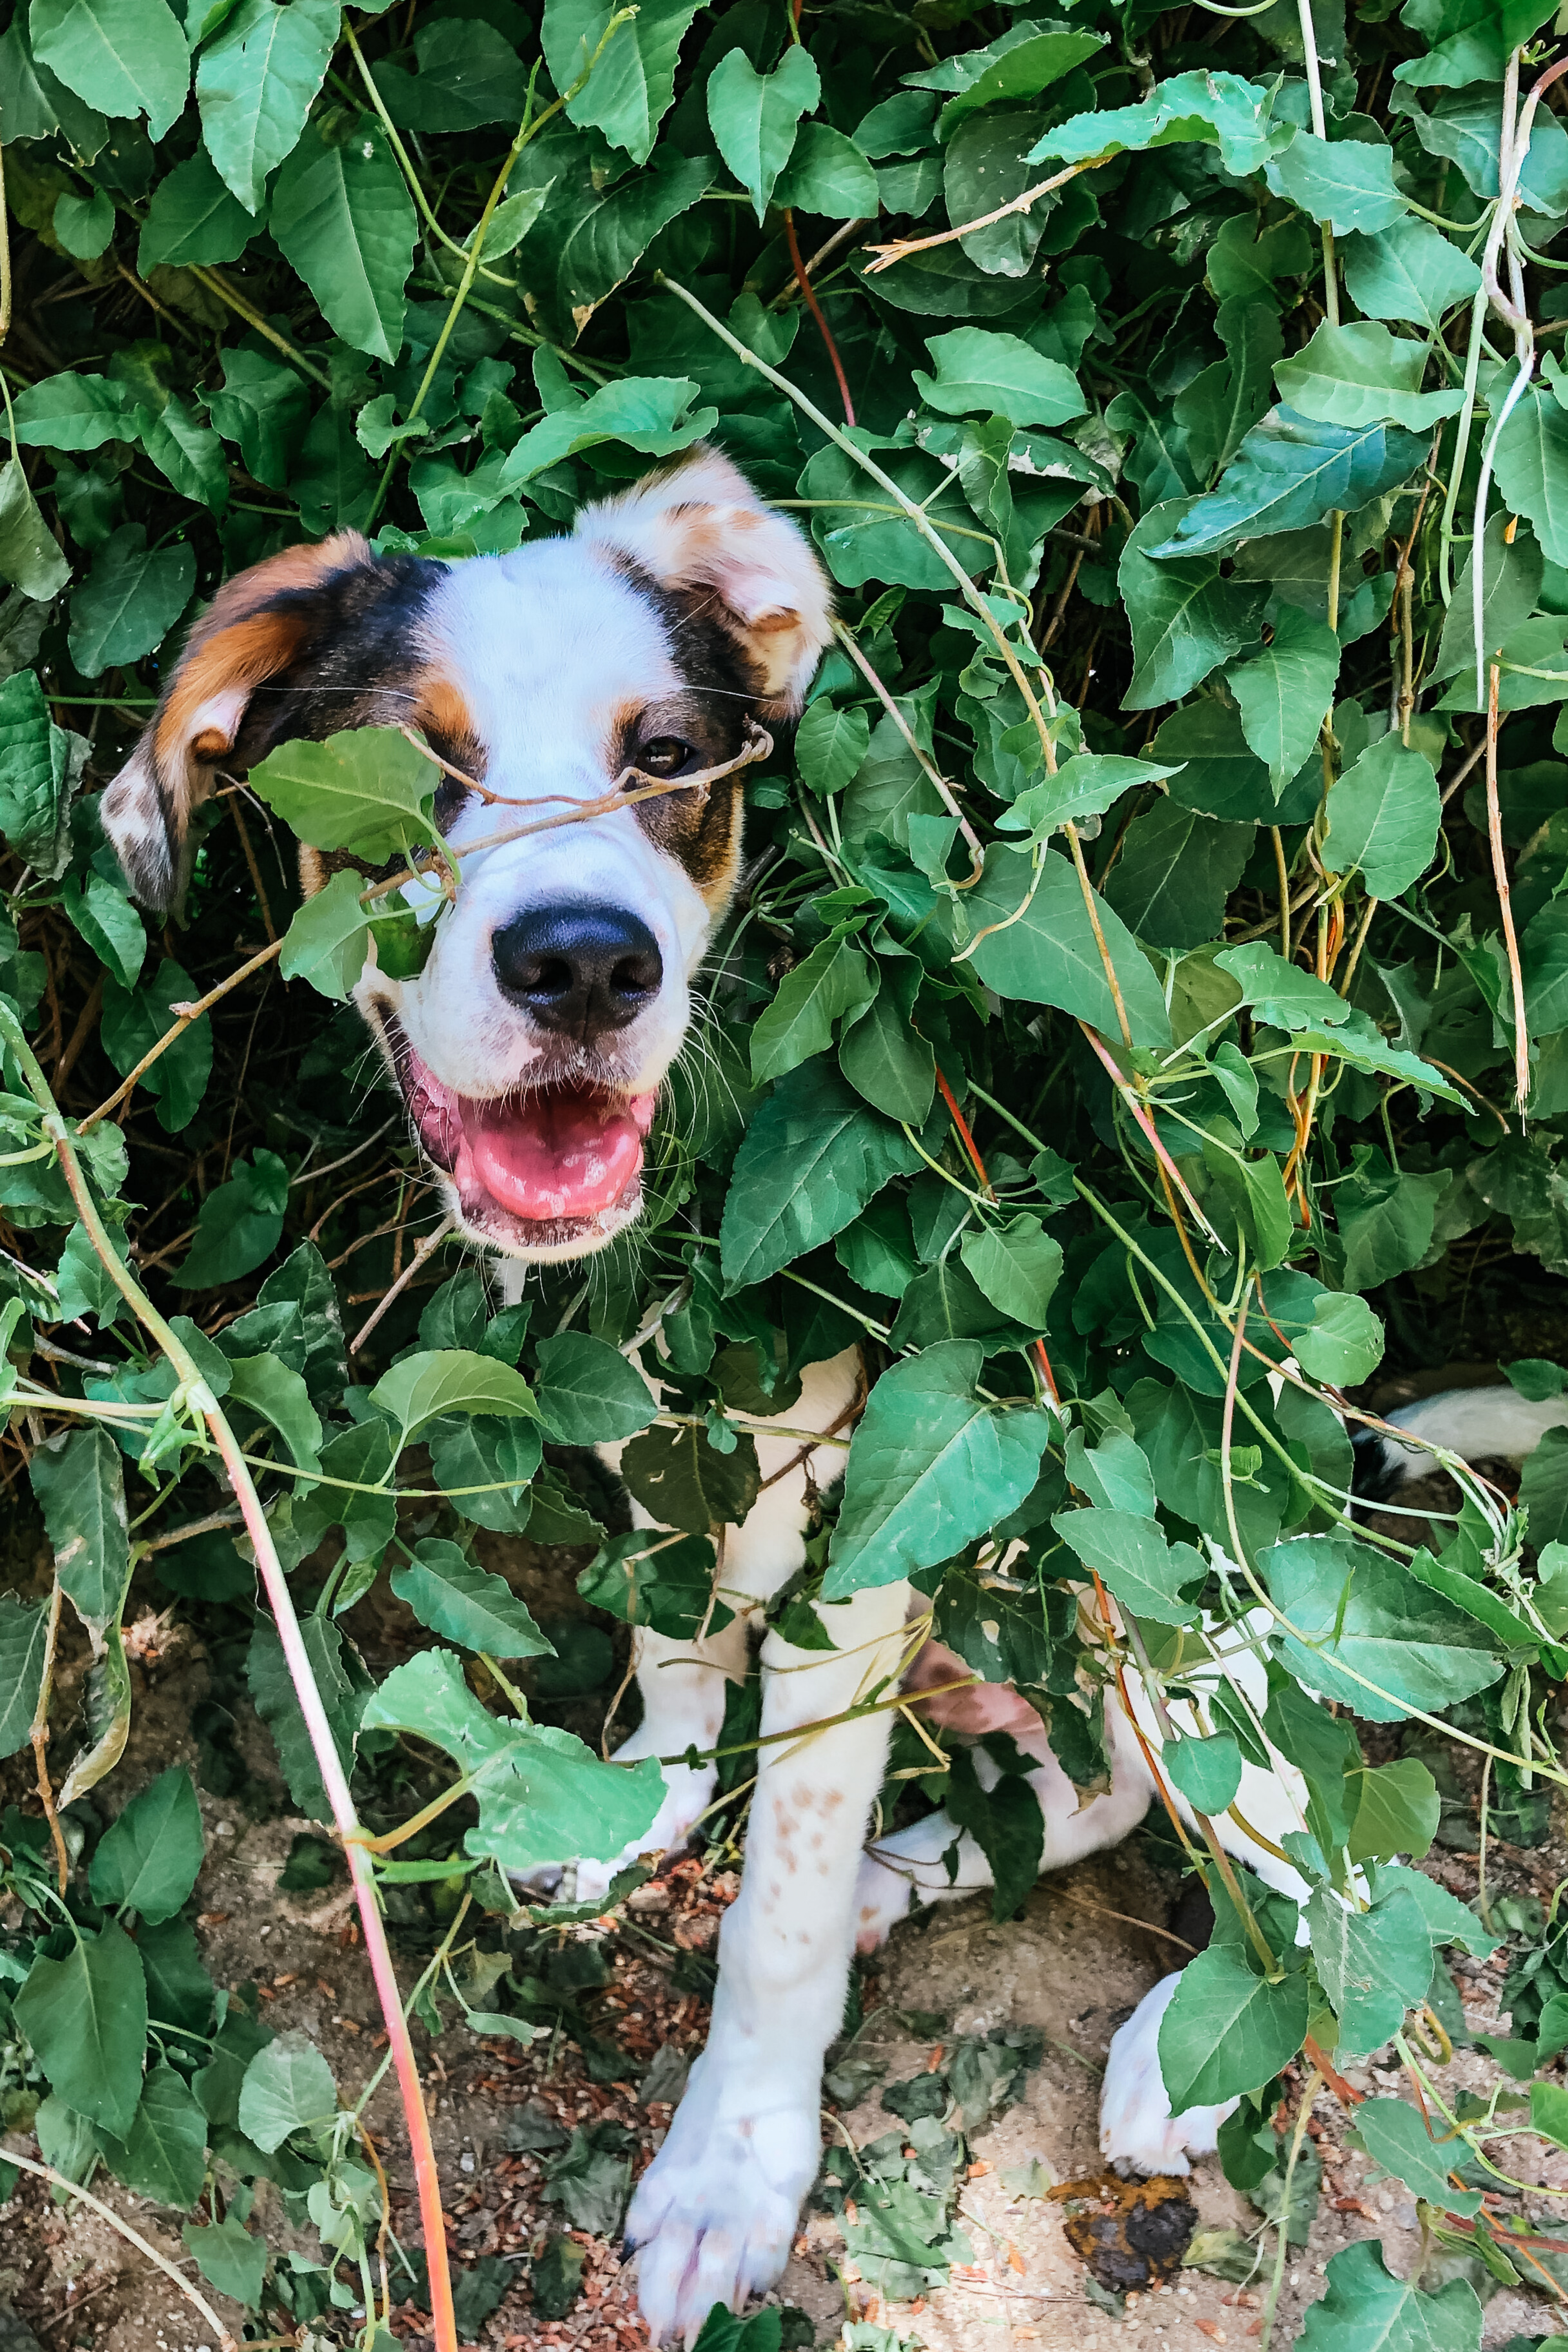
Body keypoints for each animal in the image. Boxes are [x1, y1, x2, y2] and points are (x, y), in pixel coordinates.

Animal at [104, 459, 1561, 2352]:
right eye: (405, 763)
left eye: (666, 758)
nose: (586, 965)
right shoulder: (658, 1444)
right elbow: (676, 1658)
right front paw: (628, 1808)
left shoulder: (856, 1568)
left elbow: (772, 1917)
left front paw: (731, 2167)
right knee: (1086, 1789)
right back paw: (911, 1872)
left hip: (1159, 1592)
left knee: (1322, 1862)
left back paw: (1184, 2044)